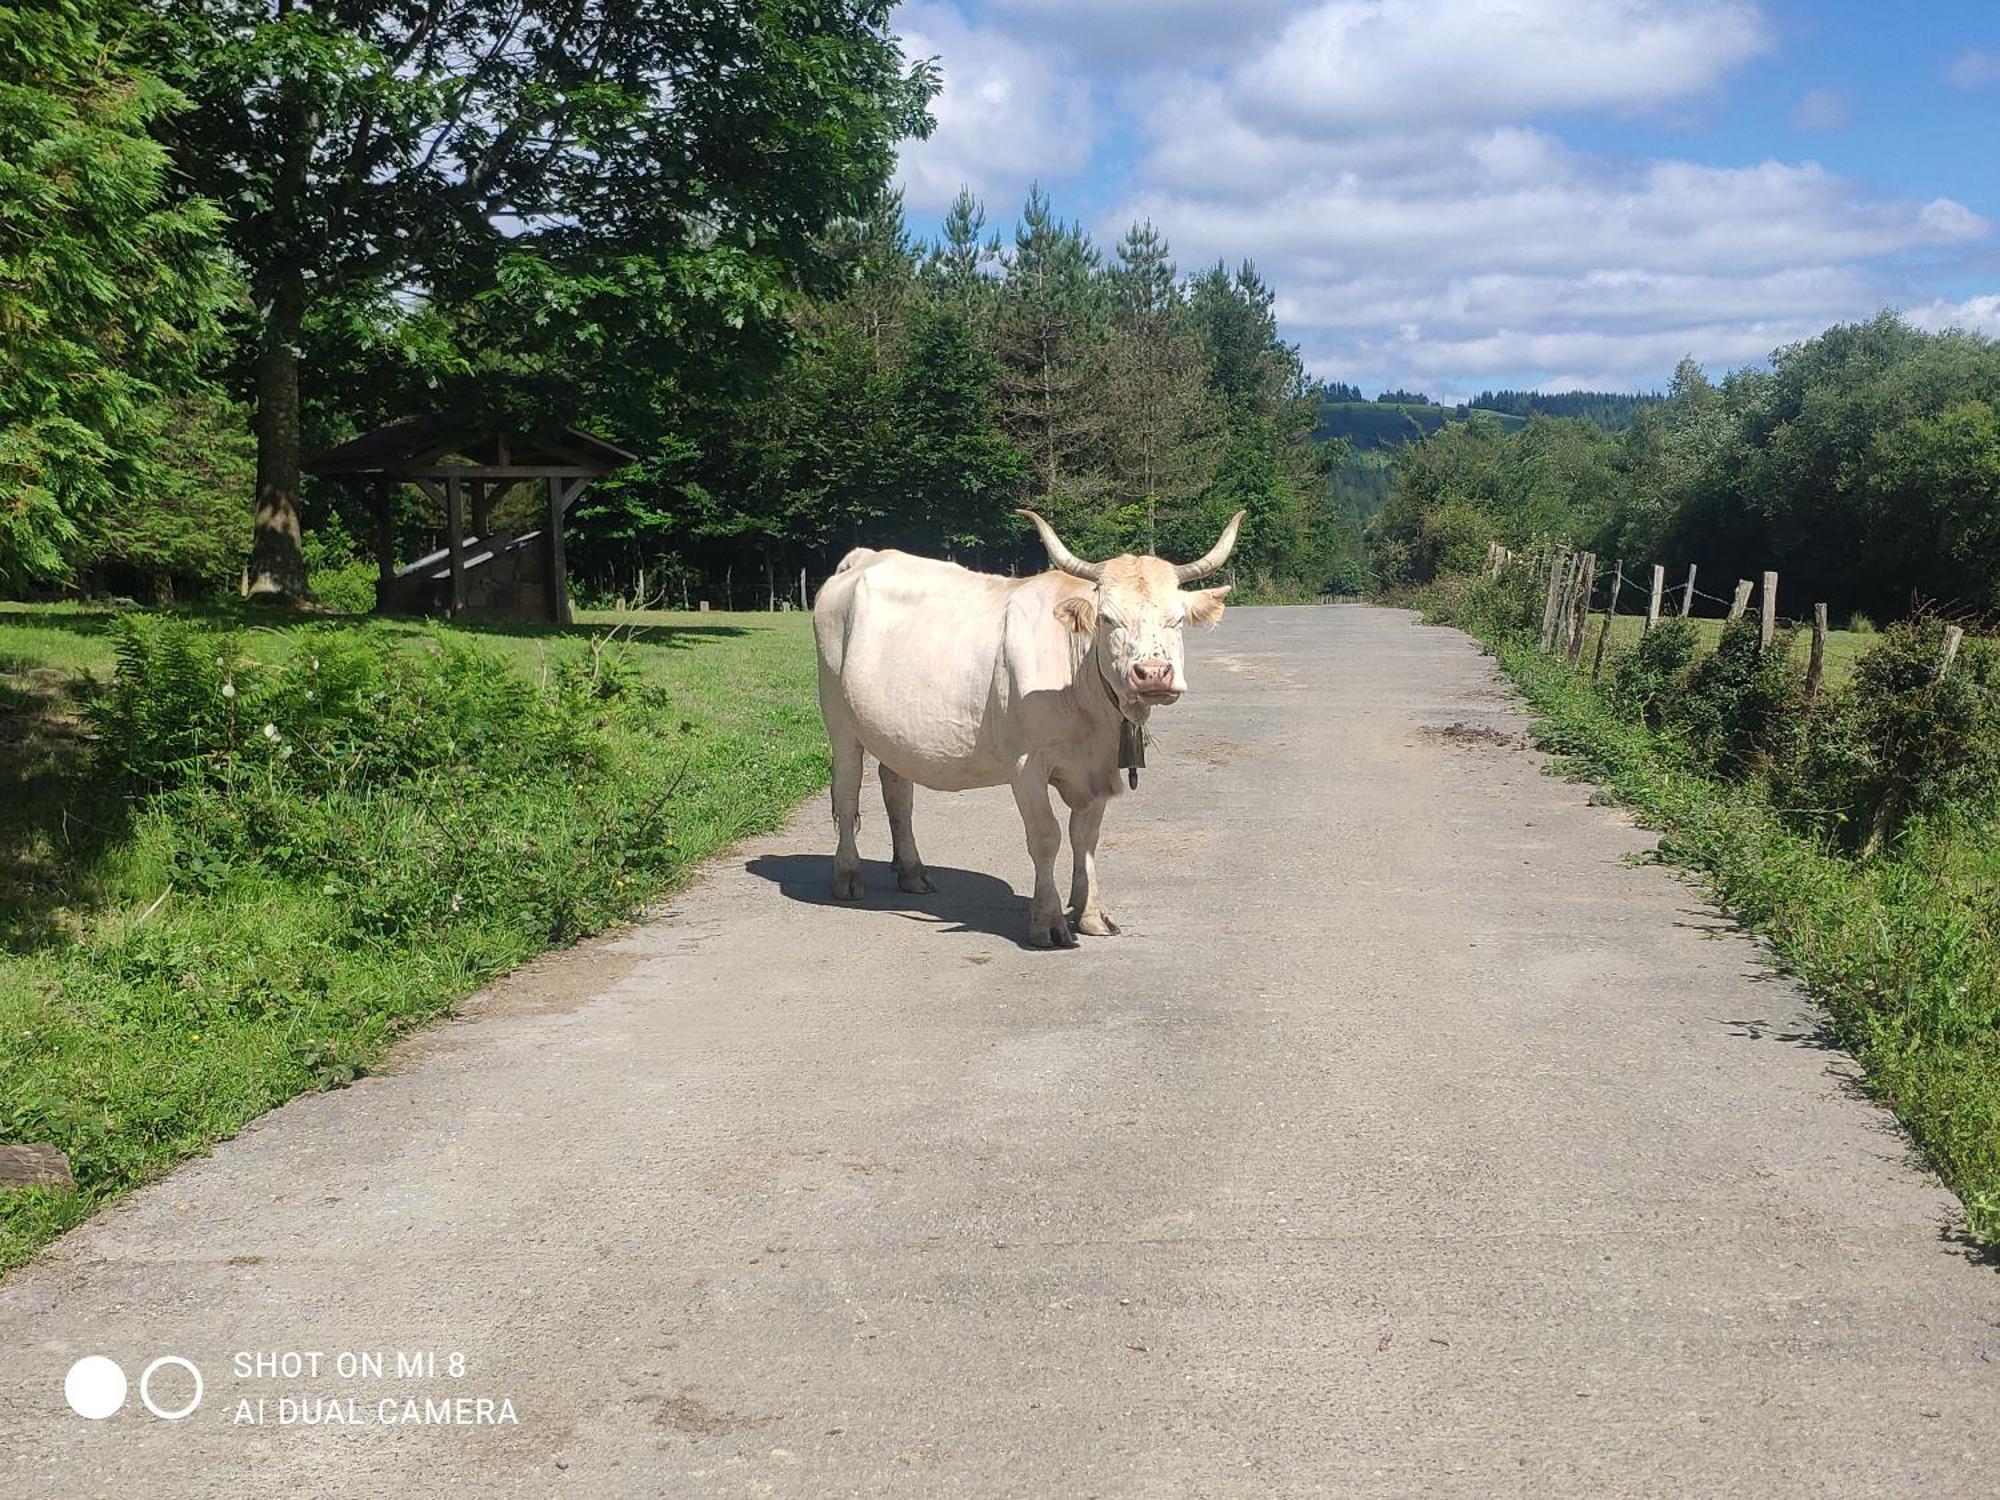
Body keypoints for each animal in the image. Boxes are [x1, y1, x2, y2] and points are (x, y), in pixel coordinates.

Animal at [812, 512, 1232, 944]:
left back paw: (911, 871)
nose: (1152, 674)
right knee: (846, 794)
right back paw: (847, 875)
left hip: (895, 729)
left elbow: (1086, 837)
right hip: (839, 721)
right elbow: (1046, 837)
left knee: (897, 791)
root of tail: (865, 557)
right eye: (1107, 619)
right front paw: (1048, 920)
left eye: (1176, 620)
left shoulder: (1099, 766)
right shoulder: (1027, 765)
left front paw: (1091, 913)